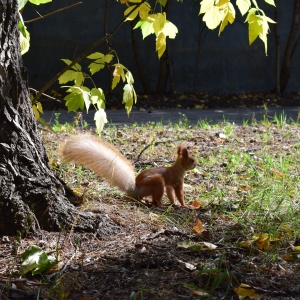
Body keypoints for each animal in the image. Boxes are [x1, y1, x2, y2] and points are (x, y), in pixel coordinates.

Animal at [59, 135, 198, 207]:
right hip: (157, 182)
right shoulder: (178, 181)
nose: (197, 164)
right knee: (155, 200)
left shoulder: (170, 185)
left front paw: (173, 203)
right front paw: (184, 205)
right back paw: (156, 203)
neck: (178, 169)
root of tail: (135, 189)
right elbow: (179, 193)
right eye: (191, 160)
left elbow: (171, 194)